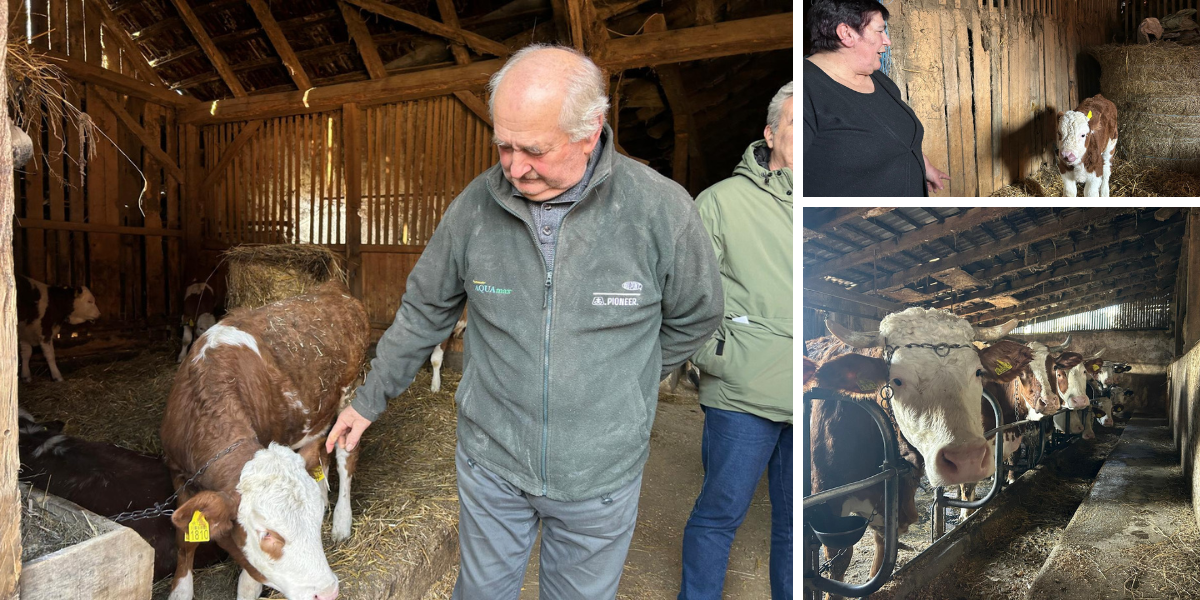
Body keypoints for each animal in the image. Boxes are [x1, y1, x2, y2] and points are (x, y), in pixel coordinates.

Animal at [159, 280, 367, 600]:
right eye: (267, 533)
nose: (328, 591)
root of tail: (333, 288)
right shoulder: (177, 473)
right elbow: (185, 539)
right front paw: (181, 591)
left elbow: (249, 582)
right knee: (320, 455)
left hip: (352, 392)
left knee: (346, 457)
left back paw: (342, 522)